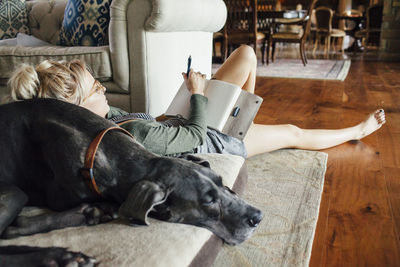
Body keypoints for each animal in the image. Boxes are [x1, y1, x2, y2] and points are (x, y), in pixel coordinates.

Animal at [0, 99, 262, 266]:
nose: (258, 217)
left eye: (223, 183)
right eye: (208, 201)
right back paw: (60, 256)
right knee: (13, 229)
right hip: (14, 192)